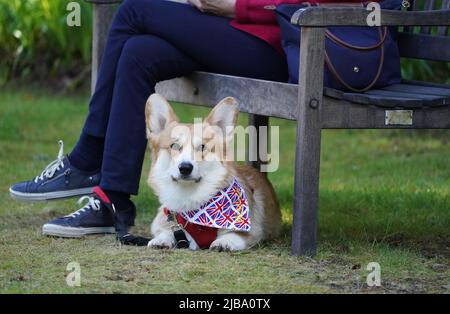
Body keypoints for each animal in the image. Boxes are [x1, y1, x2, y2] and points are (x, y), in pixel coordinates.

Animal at [144, 94, 280, 251]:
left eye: (202, 147)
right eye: (175, 146)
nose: (185, 168)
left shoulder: (251, 232)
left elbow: (234, 235)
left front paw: (224, 242)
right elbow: (167, 231)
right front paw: (161, 240)